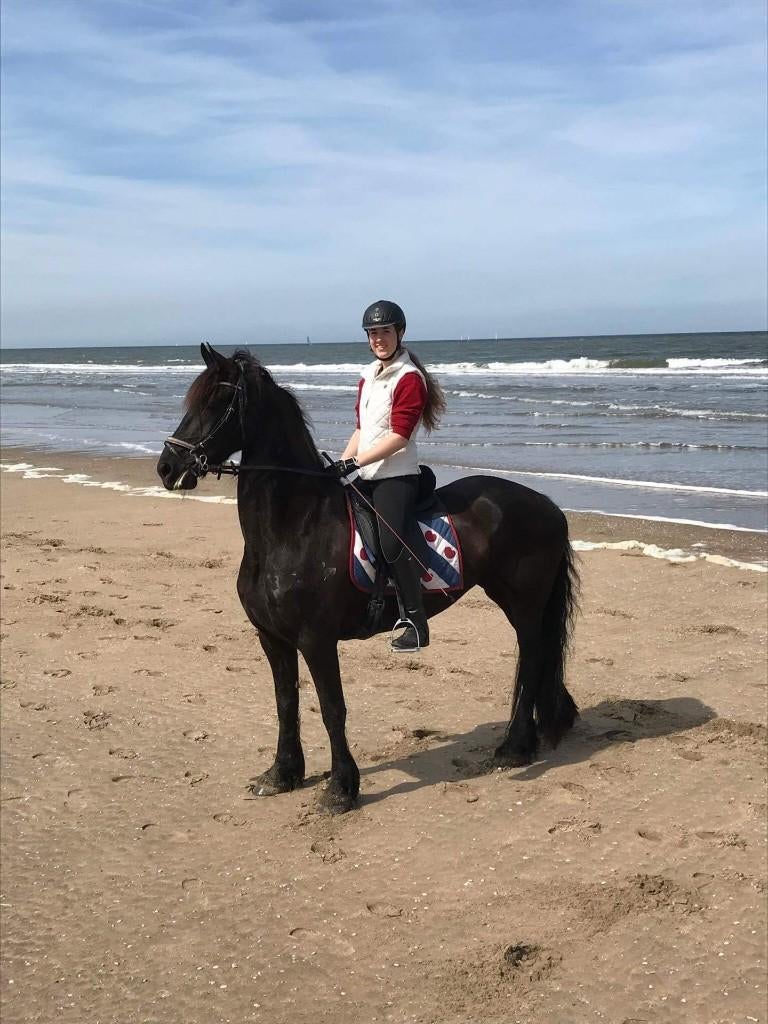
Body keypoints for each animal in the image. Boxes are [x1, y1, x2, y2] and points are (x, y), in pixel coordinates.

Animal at [157, 343, 579, 813]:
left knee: (533, 660)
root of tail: (548, 505)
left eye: (217, 401)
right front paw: (282, 774)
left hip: (523, 603)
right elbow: (286, 703)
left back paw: (514, 748)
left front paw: (341, 788)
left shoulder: (316, 640)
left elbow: (331, 708)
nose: (167, 467)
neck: (294, 526)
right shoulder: (273, 638)